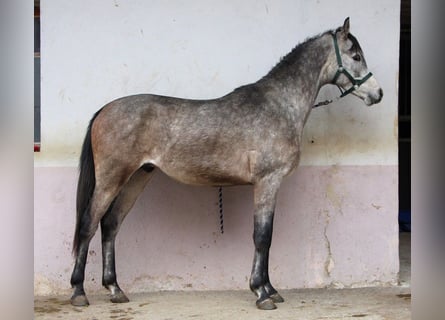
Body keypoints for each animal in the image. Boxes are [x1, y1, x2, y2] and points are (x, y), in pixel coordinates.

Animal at [70, 18, 382, 310]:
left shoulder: (269, 185)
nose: (377, 94)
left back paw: (115, 289)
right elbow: (262, 236)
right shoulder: (267, 181)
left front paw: (271, 289)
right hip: (111, 179)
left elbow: (267, 236)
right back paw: (78, 292)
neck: (279, 105)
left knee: (110, 224)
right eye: (355, 55)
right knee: (88, 224)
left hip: (137, 177)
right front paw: (261, 293)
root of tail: (105, 109)